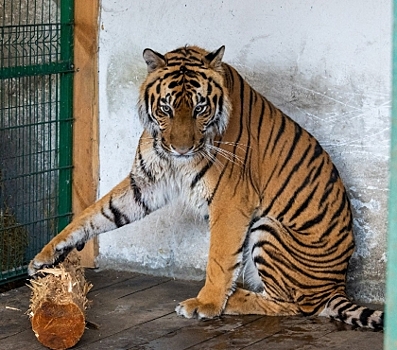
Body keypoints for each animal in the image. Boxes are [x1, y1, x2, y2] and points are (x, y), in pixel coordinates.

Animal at [27, 45, 380, 330]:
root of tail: (337, 285)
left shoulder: (231, 200)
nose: (181, 150)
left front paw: (206, 304)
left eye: (200, 108)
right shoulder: (146, 183)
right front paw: (48, 253)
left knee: (296, 306)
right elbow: (97, 213)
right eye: (166, 108)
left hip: (270, 228)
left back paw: (234, 299)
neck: (174, 160)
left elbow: (220, 257)